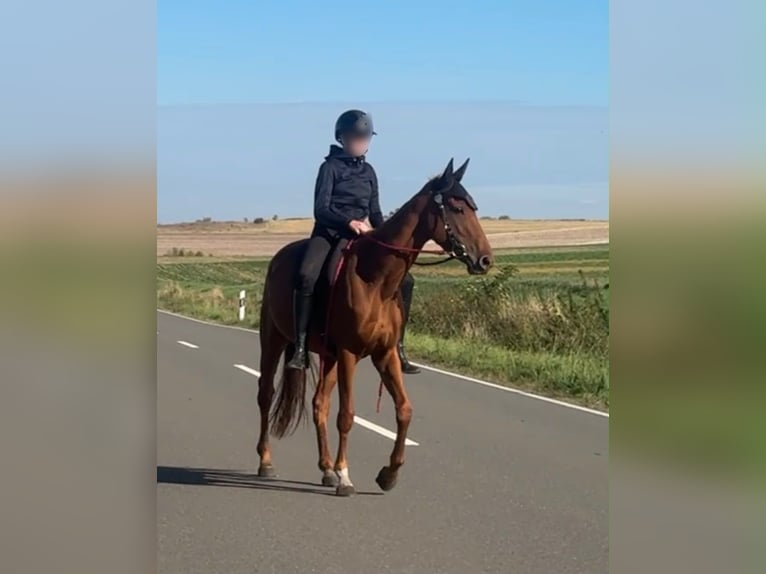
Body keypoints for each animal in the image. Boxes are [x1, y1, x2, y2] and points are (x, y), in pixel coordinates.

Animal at [255, 158, 493, 496]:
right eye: (458, 208)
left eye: (473, 206)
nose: (485, 259)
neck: (376, 278)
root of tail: (278, 258)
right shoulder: (349, 353)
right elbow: (347, 415)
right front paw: (345, 476)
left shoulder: (385, 354)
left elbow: (404, 410)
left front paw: (388, 474)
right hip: (274, 340)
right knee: (266, 394)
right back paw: (267, 461)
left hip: (328, 357)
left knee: (319, 404)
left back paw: (325, 468)